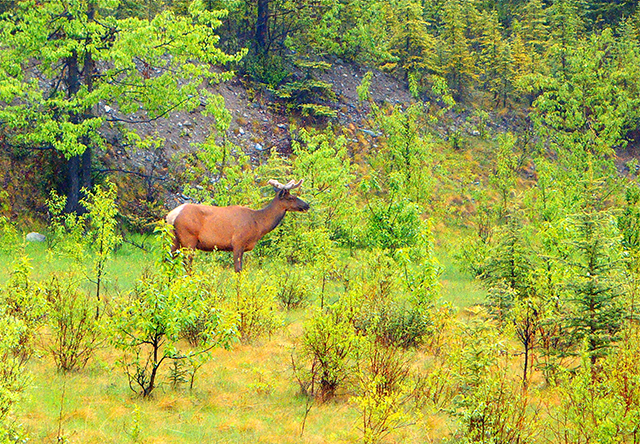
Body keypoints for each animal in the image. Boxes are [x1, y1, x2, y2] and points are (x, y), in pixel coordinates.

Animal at [166, 179, 308, 272]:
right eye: (291, 198)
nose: (307, 205)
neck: (258, 224)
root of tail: (171, 216)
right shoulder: (238, 242)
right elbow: (238, 270)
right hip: (188, 239)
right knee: (186, 266)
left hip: (174, 240)